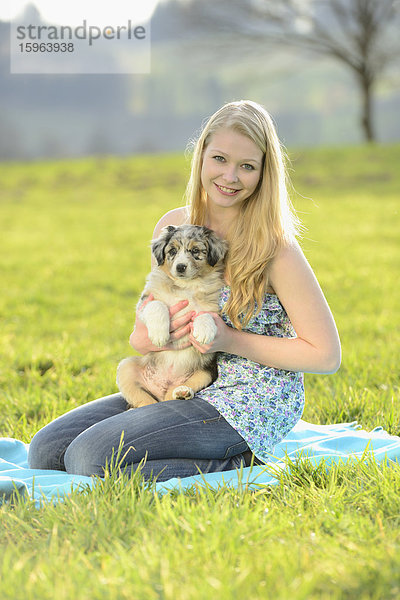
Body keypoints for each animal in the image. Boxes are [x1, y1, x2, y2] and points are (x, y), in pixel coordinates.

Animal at [116, 224, 228, 408]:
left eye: (195, 250)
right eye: (172, 251)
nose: (180, 267)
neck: (185, 286)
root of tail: (162, 391)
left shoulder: (212, 306)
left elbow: (205, 315)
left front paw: (204, 332)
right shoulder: (146, 301)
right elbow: (157, 305)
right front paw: (159, 335)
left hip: (205, 373)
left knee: (178, 391)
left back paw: (182, 392)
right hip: (126, 367)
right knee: (143, 401)